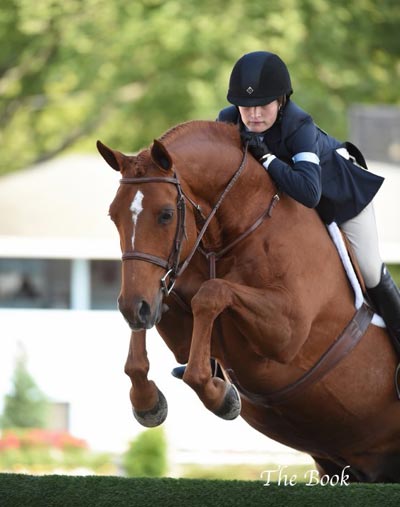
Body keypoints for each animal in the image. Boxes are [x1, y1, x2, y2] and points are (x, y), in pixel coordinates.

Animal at [97, 121, 400, 482]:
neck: (240, 226)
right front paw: (147, 402)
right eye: (113, 216)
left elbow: (212, 294)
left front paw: (220, 397)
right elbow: (166, 310)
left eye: (166, 215)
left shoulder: (286, 333)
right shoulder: (172, 308)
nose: (132, 307)